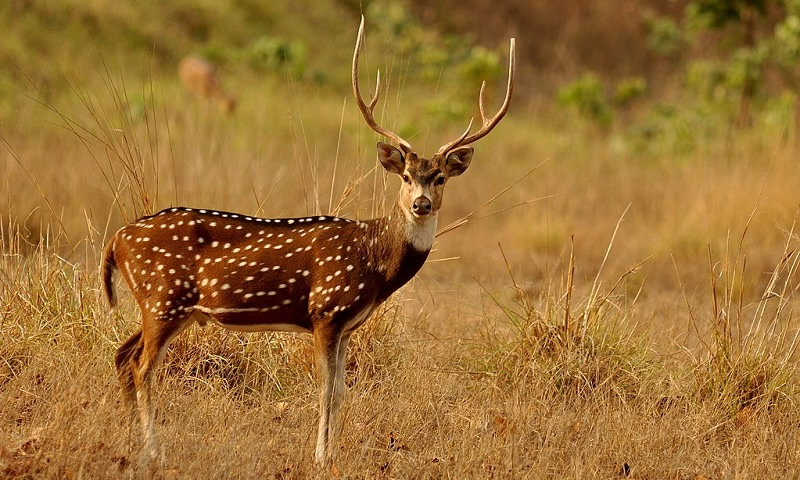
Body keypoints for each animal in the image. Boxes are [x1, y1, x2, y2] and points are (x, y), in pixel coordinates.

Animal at [103, 18, 516, 464]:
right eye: (406, 176)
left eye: (439, 178)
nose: (421, 204)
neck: (374, 261)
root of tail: (117, 240)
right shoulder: (325, 310)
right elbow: (324, 391)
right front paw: (320, 455)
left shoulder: (348, 325)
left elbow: (340, 393)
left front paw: (332, 452)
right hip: (164, 297)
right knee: (142, 367)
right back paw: (152, 450)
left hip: (163, 306)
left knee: (123, 355)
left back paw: (129, 439)